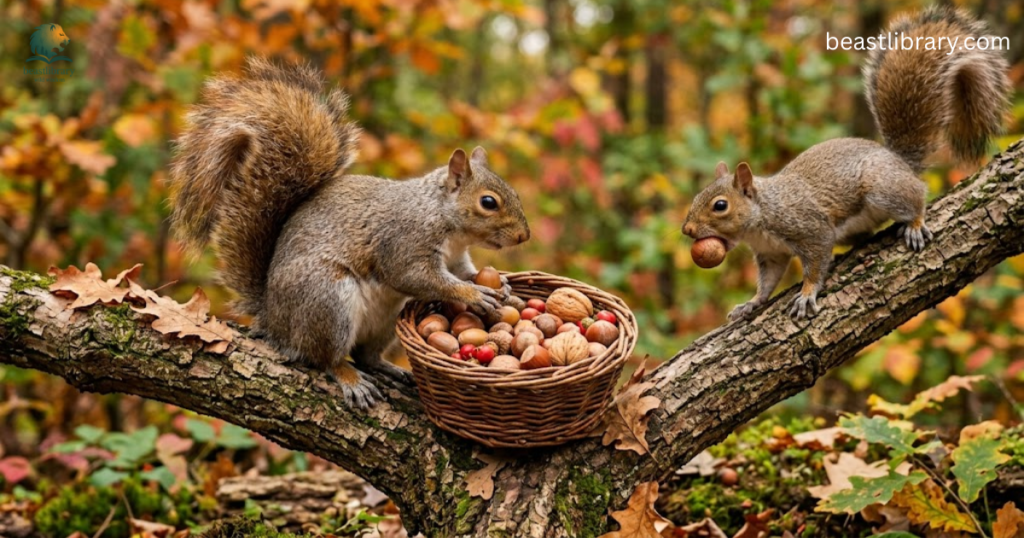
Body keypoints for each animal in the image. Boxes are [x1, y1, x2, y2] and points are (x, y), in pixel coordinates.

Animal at [168, 58, 531, 409]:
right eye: (488, 202)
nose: (523, 237)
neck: (445, 220)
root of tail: (273, 320)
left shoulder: (455, 257)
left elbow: (463, 272)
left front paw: (500, 283)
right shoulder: (404, 241)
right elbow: (417, 277)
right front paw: (474, 294)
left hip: (385, 318)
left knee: (366, 355)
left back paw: (390, 368)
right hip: (327, 299)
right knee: (324, 358)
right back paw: (350, 378)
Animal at [682, 7, 1010, 321]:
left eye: (720, 205)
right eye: (697, 197)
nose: (687, 229)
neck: (762, 216)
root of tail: (899, 161)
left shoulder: (810, 228)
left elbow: (815, 263)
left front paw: (807, 294)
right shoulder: (770, 254)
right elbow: (768, 282)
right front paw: (751, 303)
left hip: (883, 188)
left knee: (916, 195)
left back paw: (915, 223)